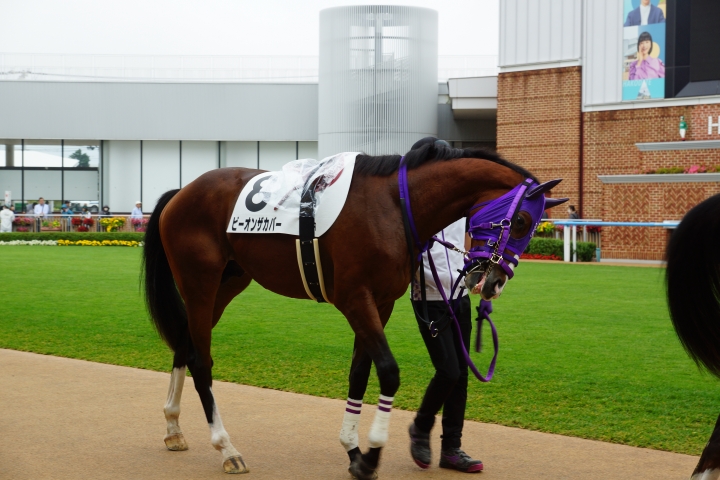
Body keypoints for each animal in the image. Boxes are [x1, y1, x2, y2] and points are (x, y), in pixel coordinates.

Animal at [142, 143, 564, 478]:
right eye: (522, 221)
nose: (494, 282)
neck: (394, 205)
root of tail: (182, 192)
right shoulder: (355, 298)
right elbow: (388, 371)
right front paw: (373, 452)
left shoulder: (381, 303)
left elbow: (360, 372)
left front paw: (353, 450)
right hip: (199, 282)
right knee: (201, 361)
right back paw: (226, 447)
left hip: (229, 282)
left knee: (185, 344)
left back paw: (173, 427)